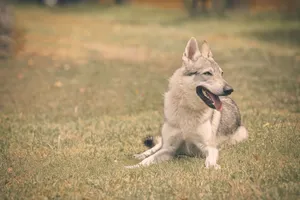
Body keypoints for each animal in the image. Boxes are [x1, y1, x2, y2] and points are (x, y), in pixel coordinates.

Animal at [125, 37, 247, 169]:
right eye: (207, 73)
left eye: (221, 73)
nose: (229, 89)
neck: (188, 109)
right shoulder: (168, 148)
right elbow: (147, 160)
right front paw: (132, 167)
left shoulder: (209, 148)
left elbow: (210, 161)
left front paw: (213, 167)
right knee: (156, 146)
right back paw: (140, 155)